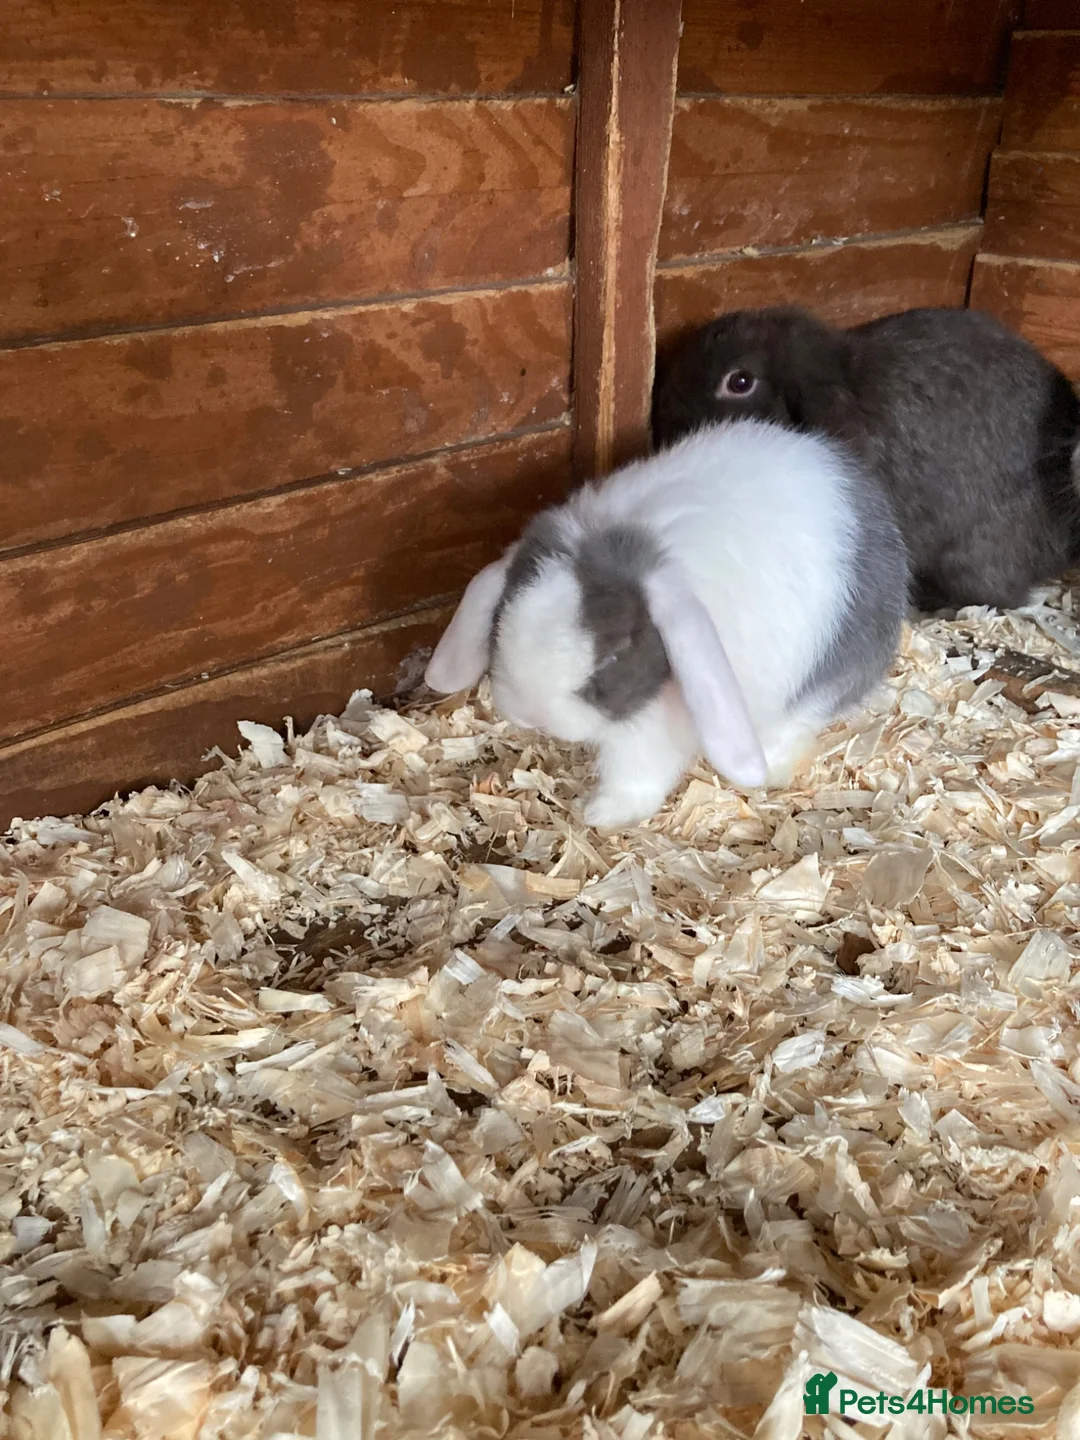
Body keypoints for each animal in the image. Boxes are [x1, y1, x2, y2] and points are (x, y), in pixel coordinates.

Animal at [424, 417, 908, 828]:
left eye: (615, 655)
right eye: (501, 618)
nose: (533, 715)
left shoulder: (654, 723)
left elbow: (637, 768)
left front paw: (603, 814)